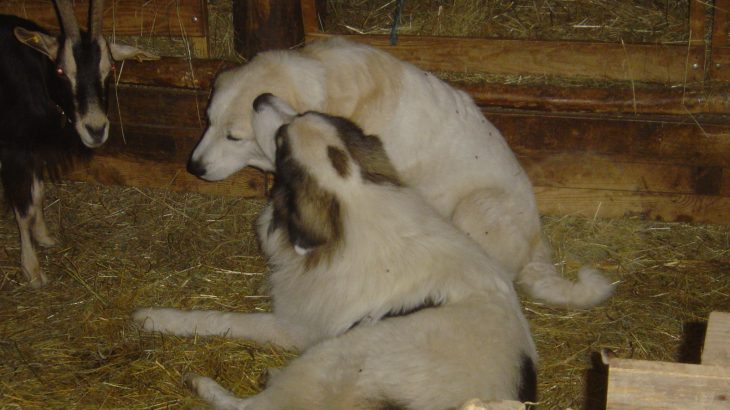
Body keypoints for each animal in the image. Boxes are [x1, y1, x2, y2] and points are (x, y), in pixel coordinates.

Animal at [0, 0, 156, 287]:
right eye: (61, 70)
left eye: (111, 68)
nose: (96, 129)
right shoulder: (13, 151)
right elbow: (24, 207)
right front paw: (32, 270)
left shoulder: (36, 147)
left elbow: (38, 193)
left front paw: (45, 236)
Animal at [136, 98, 537, 409]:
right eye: (304, 112)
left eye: (280, 141)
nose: (260, 98)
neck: (355, 200)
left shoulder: (294, 326)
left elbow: (221, 319)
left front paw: (154, 318)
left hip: (332, 357)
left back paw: (203, 384)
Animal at [187, 37, 615, 309]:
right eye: (207, 121)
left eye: (234, 136)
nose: (193, 166)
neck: (332, 86)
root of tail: (538, 242)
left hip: (477, 205)